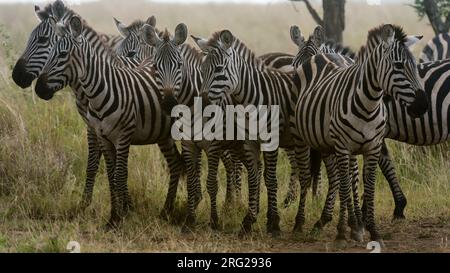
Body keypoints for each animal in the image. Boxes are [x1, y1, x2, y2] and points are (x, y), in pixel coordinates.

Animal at [32, 15, 185, 226]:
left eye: (62, 54)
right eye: (50, 52)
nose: (38, 89)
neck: (99, 93)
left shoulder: (123, 136)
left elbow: (120, 174)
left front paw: (120, 217)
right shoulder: (102, 136)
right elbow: (110, 173)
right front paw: (114, 215)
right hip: (163, 134)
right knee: (176, 163)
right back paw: (166, 210)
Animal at [292, 23, 428, 244]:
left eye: (416, 66)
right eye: (398, 66)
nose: (423, 106)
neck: (369, 103)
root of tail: (323, 55)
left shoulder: (372, 147)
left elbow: (368, 186)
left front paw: (370, 229)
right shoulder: (343, 147)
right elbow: (346, 185)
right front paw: (342, 231)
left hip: (326, 143)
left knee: (337, 177)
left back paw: (335, 221)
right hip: (305, 138)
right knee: (309, 177)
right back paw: (300, 222)